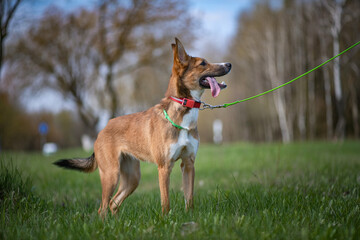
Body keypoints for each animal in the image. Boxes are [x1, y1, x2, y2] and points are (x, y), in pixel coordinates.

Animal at [54, 38, 232, 217]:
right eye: (203, 63)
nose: (229, 64)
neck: (182, 111)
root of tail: (103, 129)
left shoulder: (188, 164)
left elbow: (189, 199)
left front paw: (190, 219)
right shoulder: (164, 167)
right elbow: (165, 202)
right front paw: (165, 220)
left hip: (132, 178)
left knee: (113, 203)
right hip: (111, 174)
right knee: (102, 208)